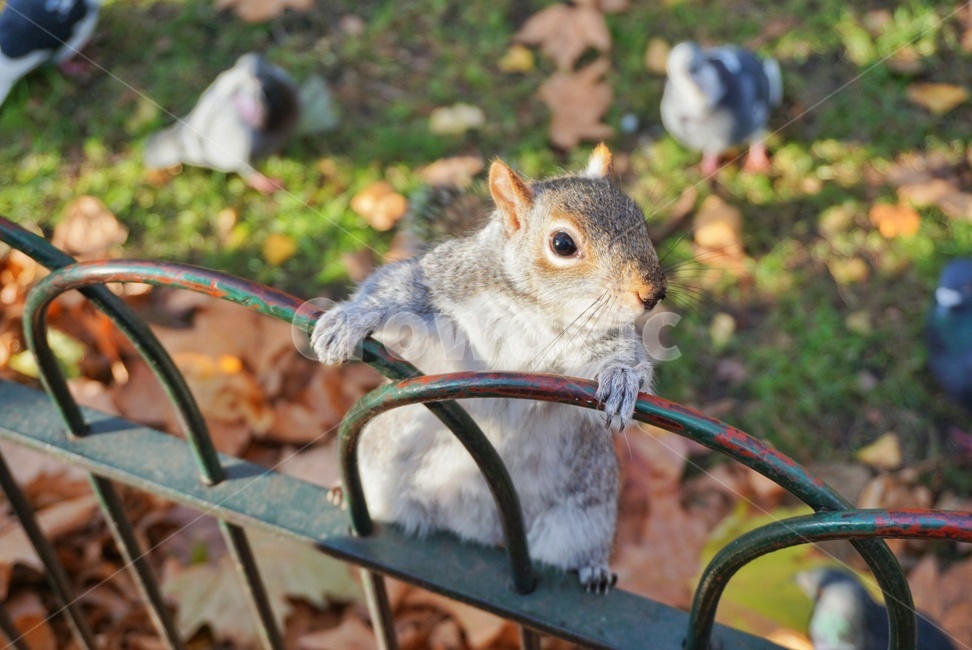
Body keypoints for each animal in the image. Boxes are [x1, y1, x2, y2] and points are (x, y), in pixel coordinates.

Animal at [311, 145, 667, 592]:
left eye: (640, 218)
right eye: (562, 244)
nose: (654, 292)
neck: (538, 308)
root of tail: (482, 530)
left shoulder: (599, 340)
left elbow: (624, 357)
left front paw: (622, 381)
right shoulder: (442, 281)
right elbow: (396, 286)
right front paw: (347, 320)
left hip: (585, 517)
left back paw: (593, 570)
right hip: (379, 471)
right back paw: (344, 492)